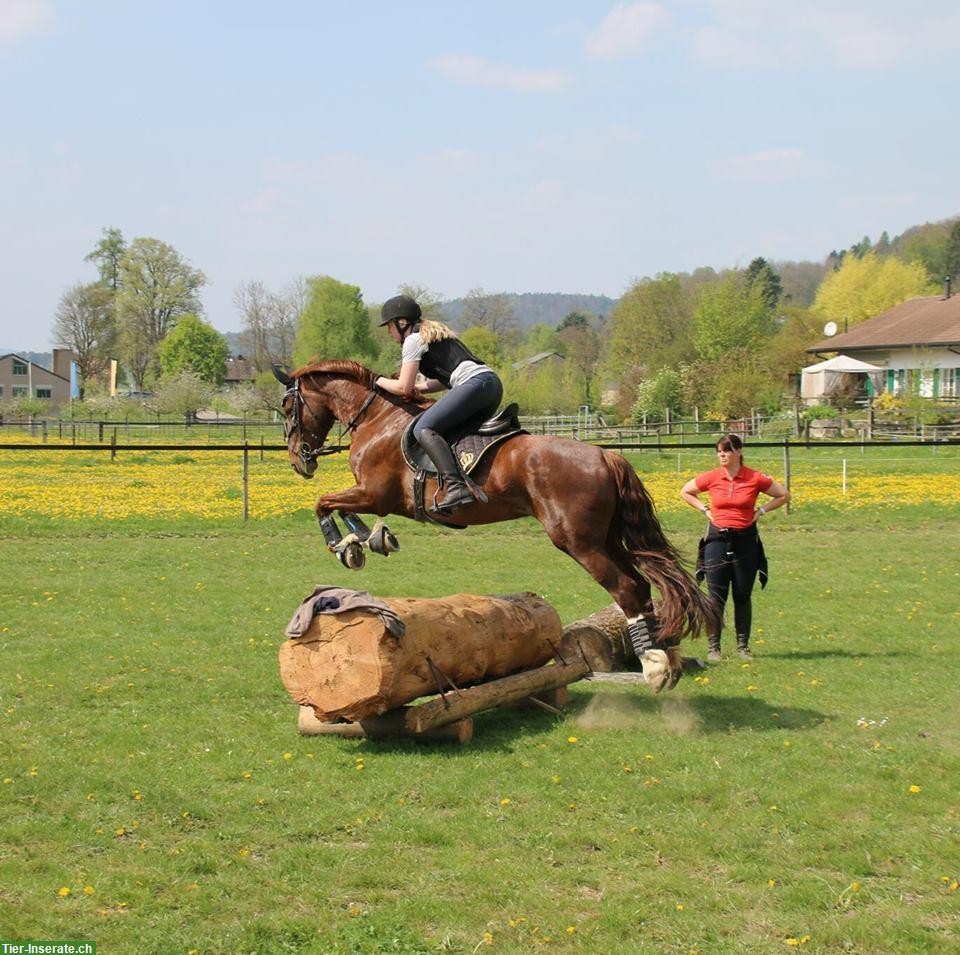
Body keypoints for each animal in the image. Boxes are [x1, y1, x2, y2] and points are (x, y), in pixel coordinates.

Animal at [274, 362, 716, 692]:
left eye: (287, 406)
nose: (299, 460)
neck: (377, 419)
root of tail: (605, 456)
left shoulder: (374, 493)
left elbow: (323, 503)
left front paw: (344, 544)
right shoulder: (371, 496)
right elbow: (339, 508)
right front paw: (367, 540)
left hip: (578, 541)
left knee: (626, 587)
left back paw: (654, 666)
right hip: (605, 537)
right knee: (642, 583)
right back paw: (668, 658)